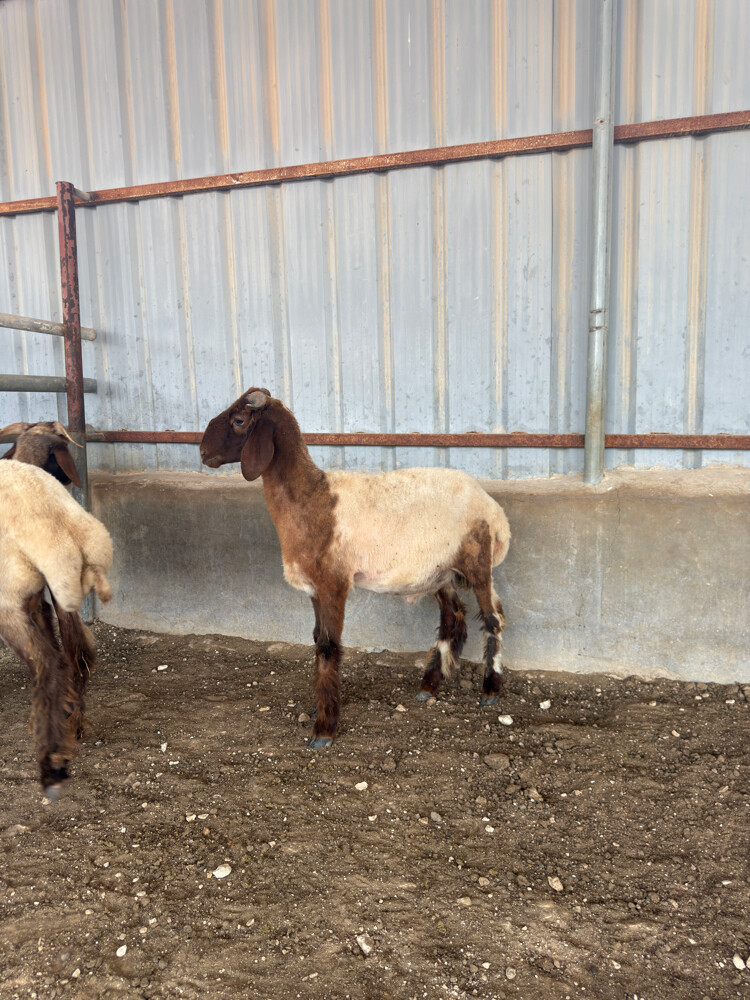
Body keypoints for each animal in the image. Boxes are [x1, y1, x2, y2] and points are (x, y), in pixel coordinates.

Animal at [0, 422, 112, 798]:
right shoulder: (39, 598)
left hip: (10, 604)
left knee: (50, 663)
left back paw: (51, 757)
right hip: (64, 589)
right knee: (77, 654)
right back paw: (72, 722)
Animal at [200, 388, 510, 748]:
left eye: (238, 420)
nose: (203, 452)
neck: (312, 498)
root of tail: (494, 510)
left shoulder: (334, 582)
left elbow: (328, 647)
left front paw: (324, 730)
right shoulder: (314, 588)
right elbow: (317, 640)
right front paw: (322, 710)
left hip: (477, 561)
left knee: (493, 618)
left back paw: (490, 690)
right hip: (439, 572)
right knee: (452, 618)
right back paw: (429, 685)